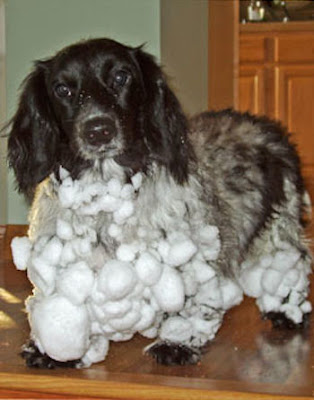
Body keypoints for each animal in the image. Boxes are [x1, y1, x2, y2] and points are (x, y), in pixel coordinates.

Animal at [7, 39, 312, 368]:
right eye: (62, 89)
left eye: (121, 77)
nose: (98, 130)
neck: (106, 197)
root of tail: (269, 127)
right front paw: (52, 350)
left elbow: (192, 306)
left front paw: (177, 342)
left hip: (277, 229)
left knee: (290, 264)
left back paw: (285, 311)